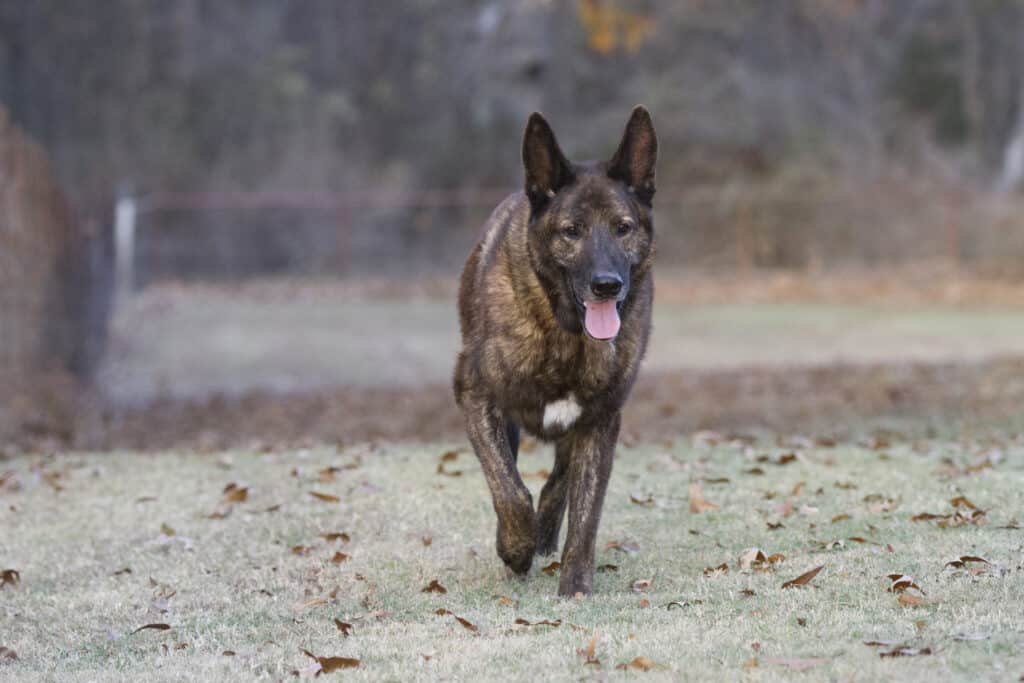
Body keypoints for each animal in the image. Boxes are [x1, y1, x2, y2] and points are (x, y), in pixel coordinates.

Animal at [454, 107, 659, 598]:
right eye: (572, 231)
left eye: (623, 228)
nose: (607, 285)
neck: (565, 332)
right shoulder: (477, 397)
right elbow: (509, 490)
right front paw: (515, 546)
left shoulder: (600, 420)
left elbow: (585, 513)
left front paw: (576, 586)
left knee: (557, 485)